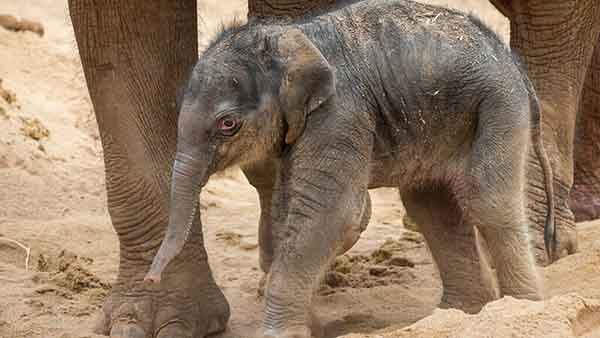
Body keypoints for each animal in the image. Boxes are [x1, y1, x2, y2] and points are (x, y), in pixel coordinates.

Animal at [144, 0, 552, 336]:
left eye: (227, 124)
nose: (151, 280)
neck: (294, 39)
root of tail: (512, 61)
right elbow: (287, 209)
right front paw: (309, 326)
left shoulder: (339, 113)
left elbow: (334, 213)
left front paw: (282, 332)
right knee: (431, 207)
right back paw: (459, 314)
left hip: (500, 106)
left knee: (487, 202)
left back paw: (519, 308)